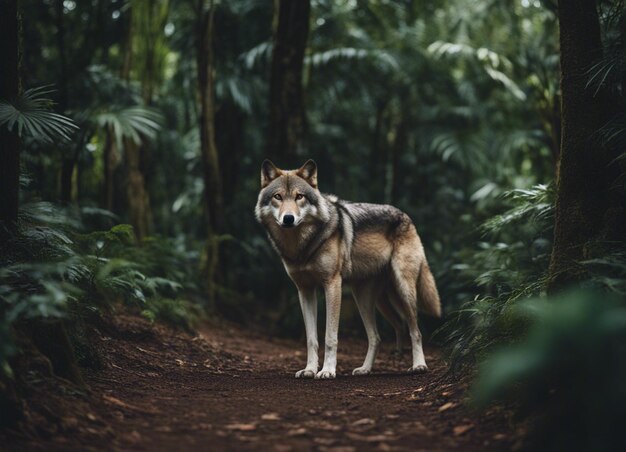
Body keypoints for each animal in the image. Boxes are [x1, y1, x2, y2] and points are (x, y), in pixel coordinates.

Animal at [254, 159, 438, 378]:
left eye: (299, 196)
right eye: (278, 197)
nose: (288, 218)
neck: (302, 247)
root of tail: (406, 216)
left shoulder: (332, 285)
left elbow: (330, 337)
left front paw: (327, 370)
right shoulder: (305, 291)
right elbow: (311, 338)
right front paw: (309, 369)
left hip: (403, 290)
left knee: (415, 330)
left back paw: (419, 365)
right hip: (367, 299)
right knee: (377, 336)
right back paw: (365, 369)